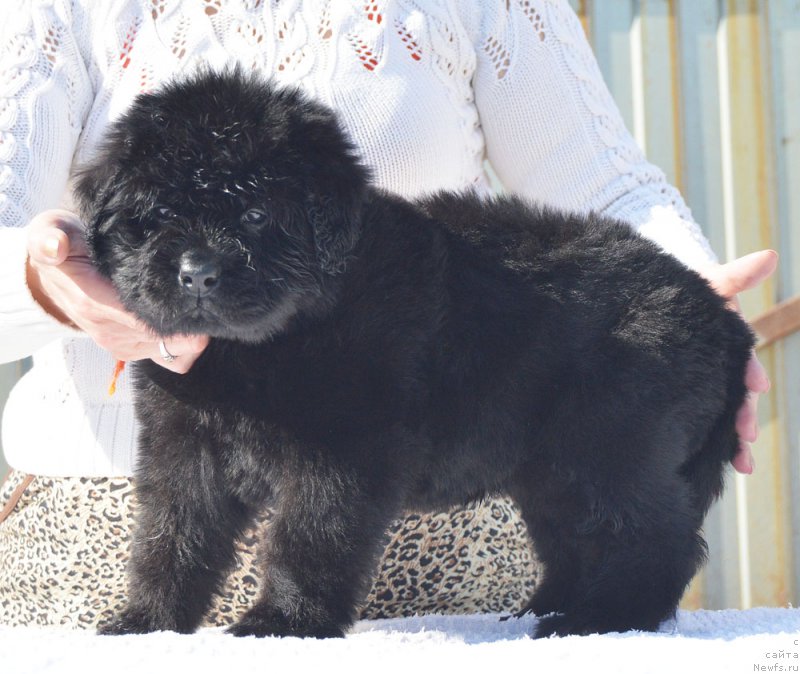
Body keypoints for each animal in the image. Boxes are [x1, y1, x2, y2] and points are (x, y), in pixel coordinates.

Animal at [73, 68, 752, 636]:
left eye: (257, 213)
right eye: (160, 210)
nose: (197, 273)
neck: (265, 344)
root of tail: (720, 316)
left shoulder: (342, 448)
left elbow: (306, 538)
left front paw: (282, 622)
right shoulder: (185, 444)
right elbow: (171, 536)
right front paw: (146, 621)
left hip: (616, 444)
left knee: (652, 540)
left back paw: (599, 620)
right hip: (554, 471)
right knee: (578, 541)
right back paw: (547, 610)